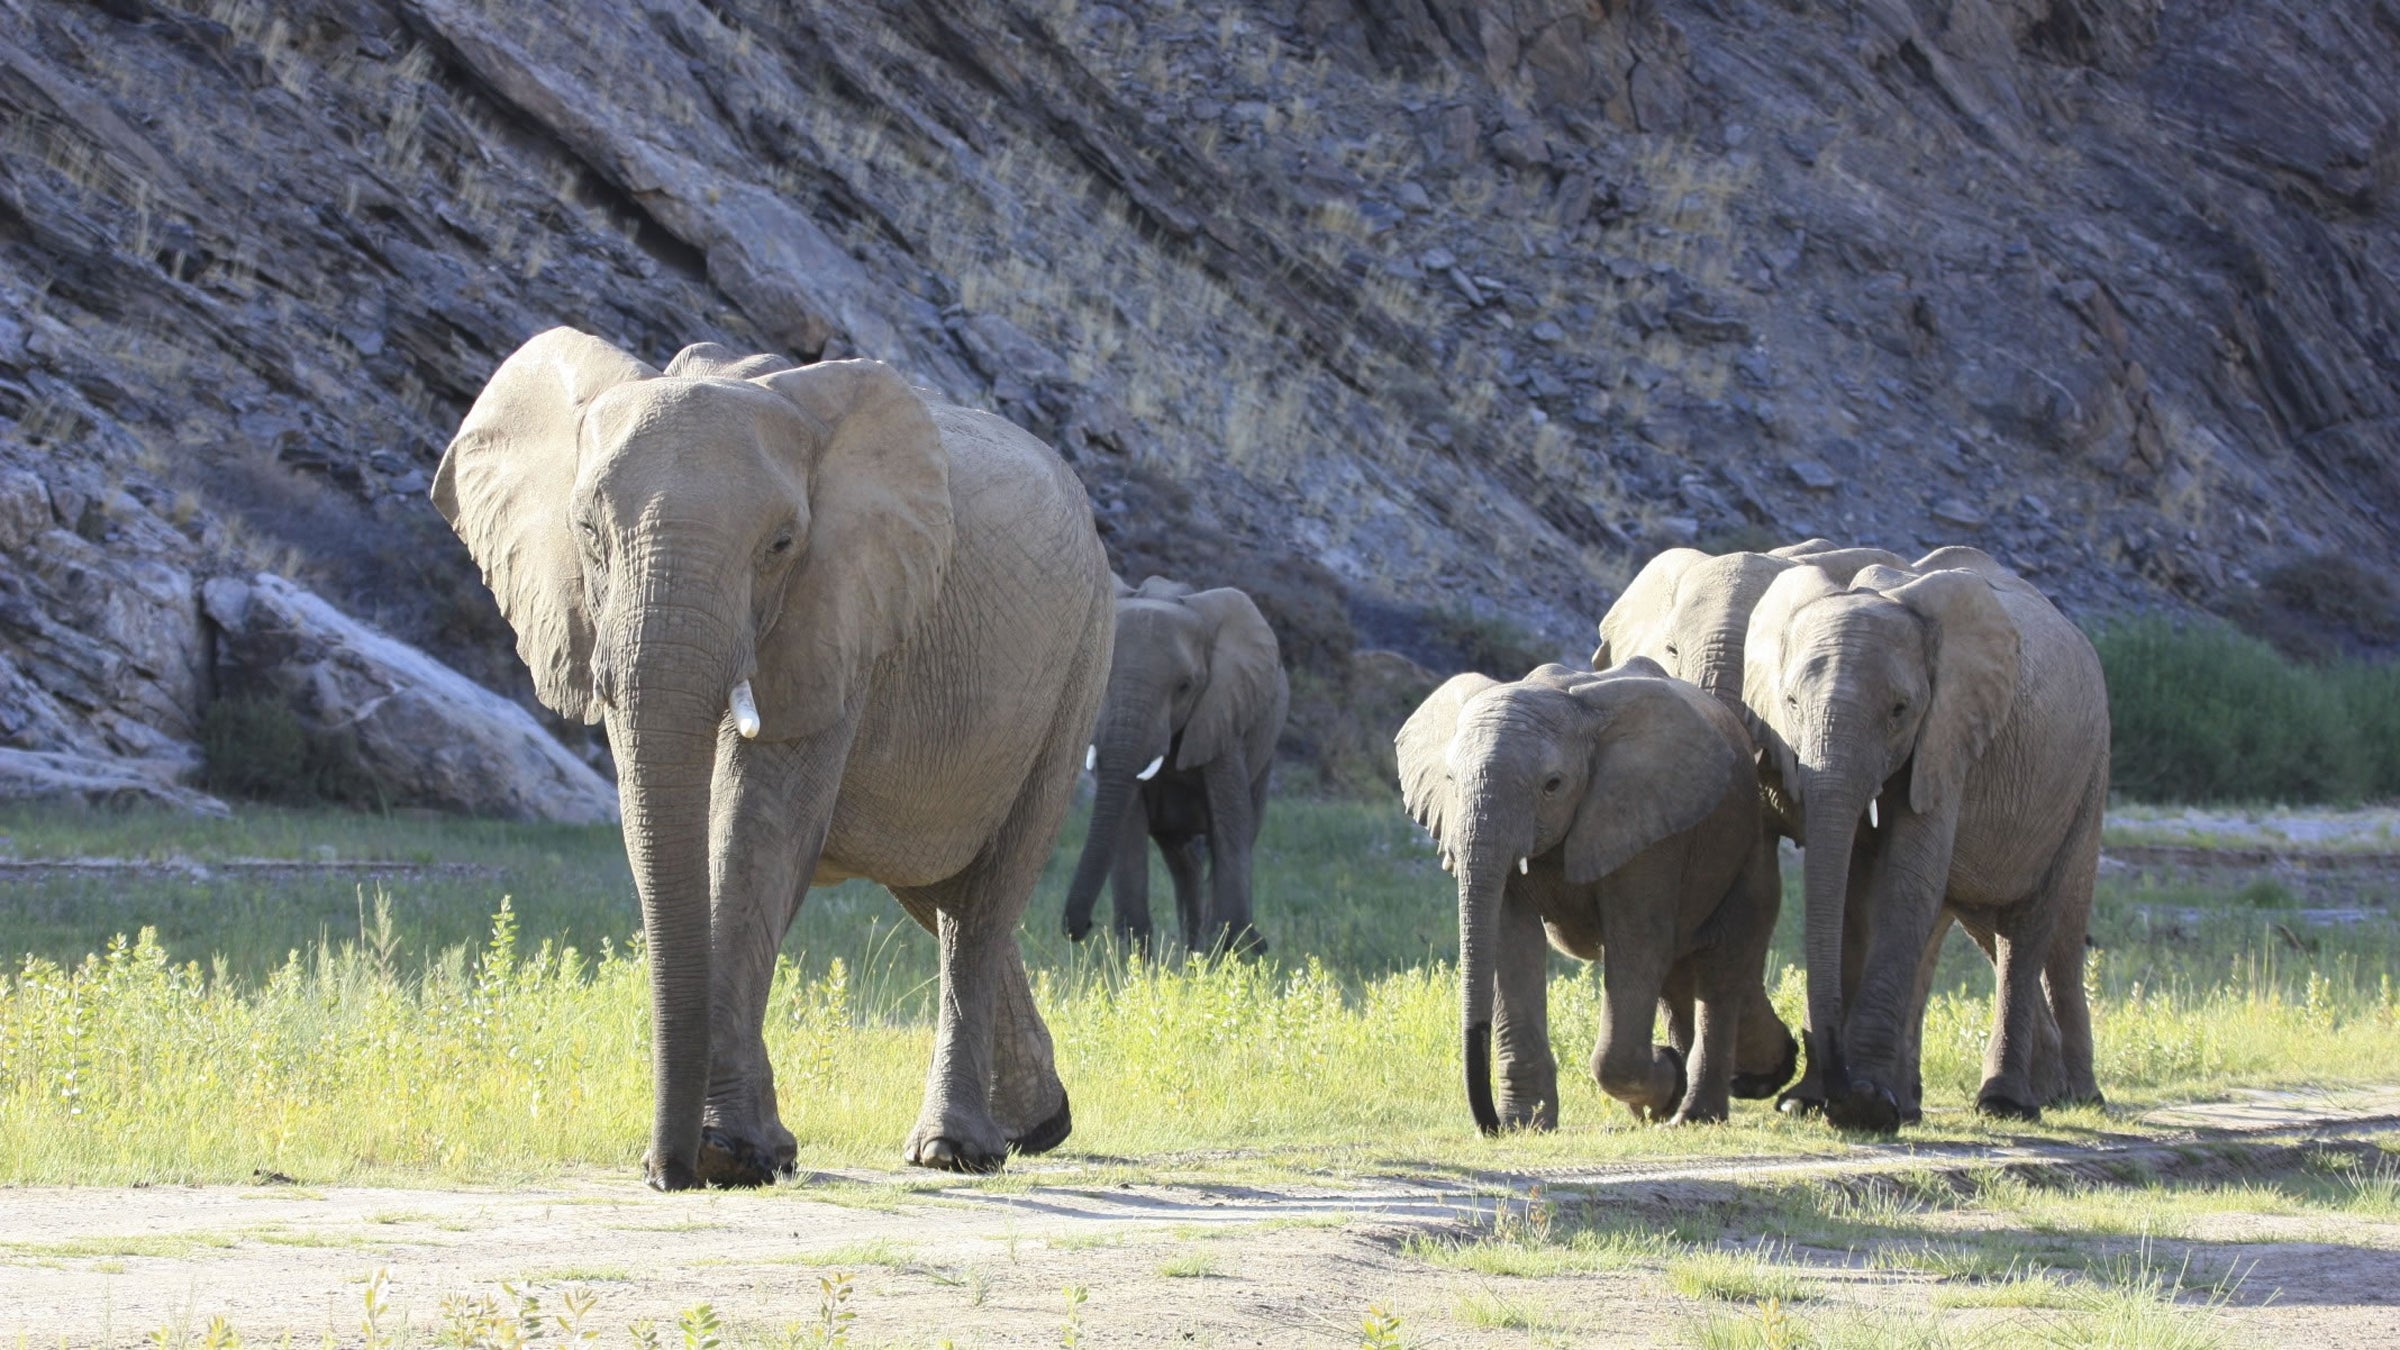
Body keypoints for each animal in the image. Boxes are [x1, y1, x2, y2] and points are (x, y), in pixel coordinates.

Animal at [433, 328, 1114, 1187]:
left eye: (783, 544)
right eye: (586, 532)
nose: (663, 1172)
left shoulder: (842, 612)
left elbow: (759, 829)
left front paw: (727, 1153)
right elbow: (667, 823)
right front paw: (753, 1153)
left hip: (1080, 658)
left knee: (987, 896)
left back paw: (958, 1151)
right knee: (936, 889)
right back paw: (1038, 1125)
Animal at [1061, 576, 1288, 955]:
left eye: (1185, 687)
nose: (1081, 928)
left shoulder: (1223, 713)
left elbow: (1230, 827)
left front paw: (1239, 952)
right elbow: (1127, 827)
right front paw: (1137, 961)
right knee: (1184, 861)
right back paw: (1194, 951)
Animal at [1396, 661, 1794, 1129]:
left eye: (1552, 785)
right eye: (1450, 781)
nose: (1490, 1125)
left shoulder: (1647, 824)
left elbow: (1636, 944)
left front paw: (1665, 1081)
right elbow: (1511, 943)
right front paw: (1528, 1124)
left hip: (1749, 849)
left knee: (1720, 967)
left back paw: (1699, 1111)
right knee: (1680, 977)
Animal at [1743, 547, 2107, 1132]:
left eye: (1899, 711)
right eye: (1792, 703)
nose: (1819, 1072)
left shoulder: (1949, 737)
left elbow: (1907, 878)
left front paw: (1864, 1106)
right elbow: (1853, 891)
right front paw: (1818, 1103)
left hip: (2084, 773)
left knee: (2033, 923)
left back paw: (2019, 1103)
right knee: (1960, 921)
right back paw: (1923, 1104)